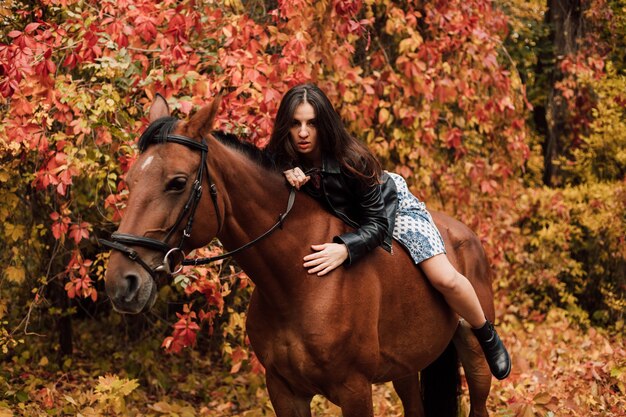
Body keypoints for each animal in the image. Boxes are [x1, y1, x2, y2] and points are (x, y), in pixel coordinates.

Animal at [103, 96, 492, 414]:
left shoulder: (355, 390)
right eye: (130, 180)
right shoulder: (284, 390)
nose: (121, 282)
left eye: (178, 182)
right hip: (407, 368)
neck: (298, 281)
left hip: (475, 359)